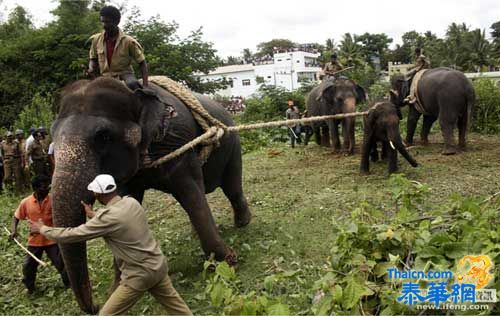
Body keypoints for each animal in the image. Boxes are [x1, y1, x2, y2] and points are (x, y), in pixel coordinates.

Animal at [50, 77, 250, 314]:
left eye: (103, 136)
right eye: (51, 138)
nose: (95, 306)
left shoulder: (177, 143)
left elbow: (190, 190)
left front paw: (226, 262)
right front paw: (116, 289)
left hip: (233, 141)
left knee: (231, 185)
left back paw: (243, 223)